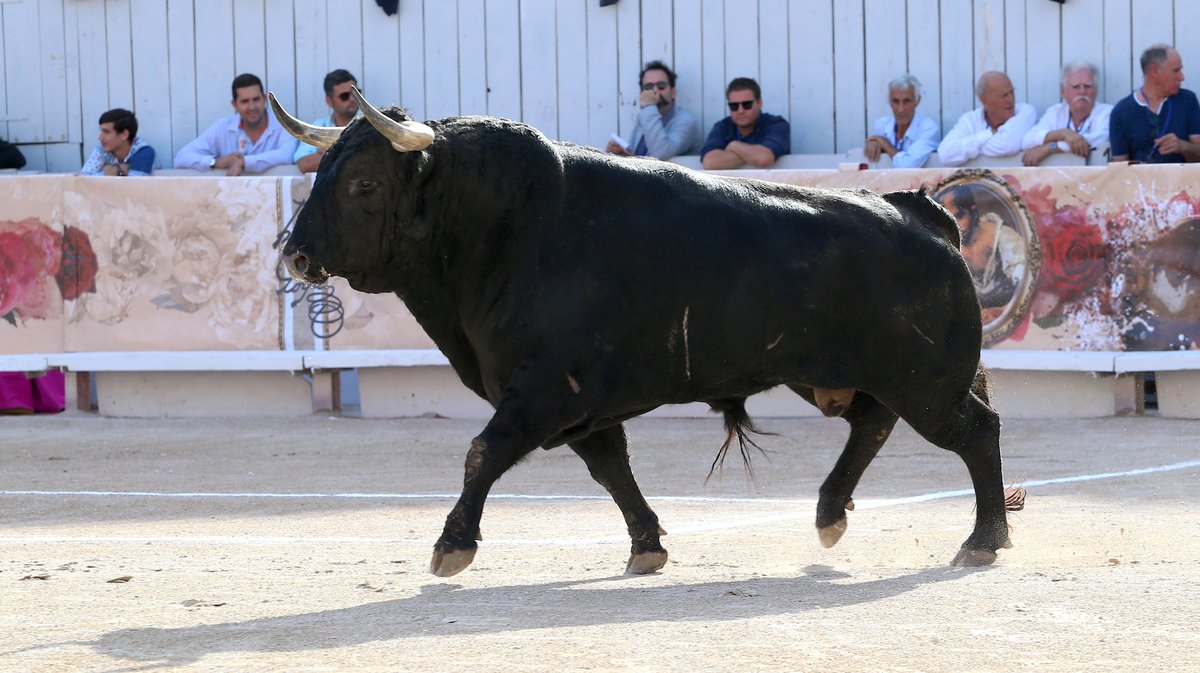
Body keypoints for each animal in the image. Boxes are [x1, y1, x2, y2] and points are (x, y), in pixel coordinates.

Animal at [274, 92, 1012, 578]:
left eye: (364, 183)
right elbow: (611, 469)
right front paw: (647, 546)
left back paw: (982, 540)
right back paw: (830, 514)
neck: (504, 229)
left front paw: (452, 545)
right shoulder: (576, 404)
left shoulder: (543, 390)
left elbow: (483, 452)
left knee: (976, 432)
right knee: (872, 424)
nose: (296, 255)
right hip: (838, 374)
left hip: (925, 383)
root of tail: (917, 212)